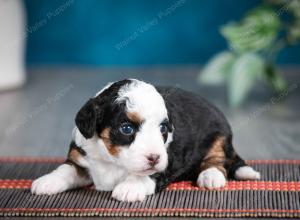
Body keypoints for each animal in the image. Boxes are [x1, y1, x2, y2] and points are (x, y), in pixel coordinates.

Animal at [31, 78, 260, 201]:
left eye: (163, 128)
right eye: (126, 128)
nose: (154, 157)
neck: (112, 159)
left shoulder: (167, 163)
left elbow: (147, 174)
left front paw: (129, 187)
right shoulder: (80, 158)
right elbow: (66, 169)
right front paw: (46, 181)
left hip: (218, 137)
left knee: (218, 160)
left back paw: (210, 176)